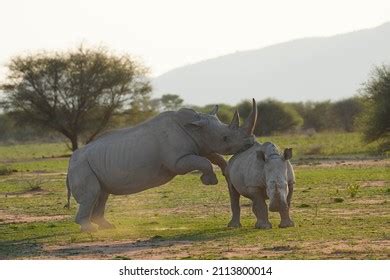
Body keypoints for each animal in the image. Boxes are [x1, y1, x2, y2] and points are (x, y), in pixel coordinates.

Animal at [65, 99, 258, 231]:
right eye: (225, 138)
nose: (250, 143)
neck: (195, 127)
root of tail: (70, 162)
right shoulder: (178, 160)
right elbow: (202, 161)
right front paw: (210, 181)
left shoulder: (201, 145)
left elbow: (213, 157)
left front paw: (225, 171)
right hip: (81, 166)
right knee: (92, 193)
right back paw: (90, 229)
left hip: (92, 164)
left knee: (102, 193)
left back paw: (107, 227)